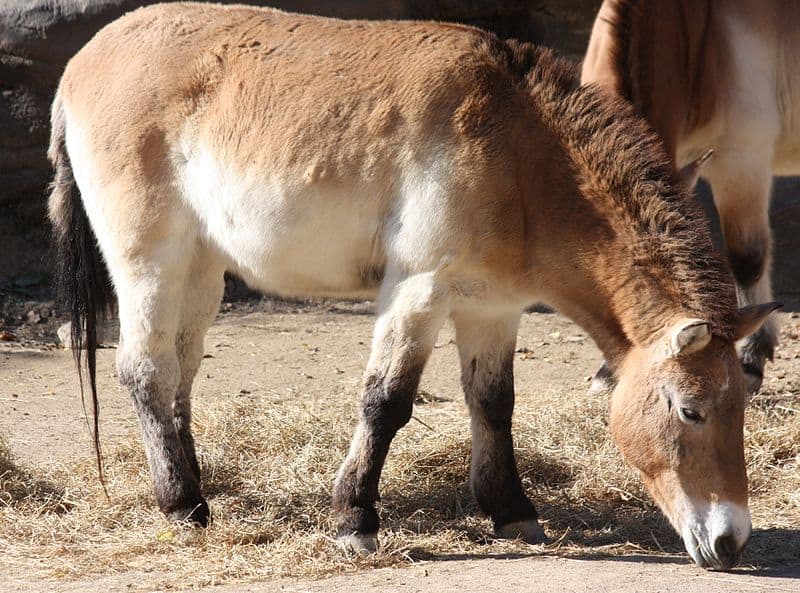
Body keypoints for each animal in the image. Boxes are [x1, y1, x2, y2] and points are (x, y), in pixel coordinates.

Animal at [50, 2, 776, 572]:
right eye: (690, 410)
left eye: (740, 404)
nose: (731, 541)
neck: (518, 152)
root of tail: (83, 63)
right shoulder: (419, 291)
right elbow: (386, 402)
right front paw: (355, 521)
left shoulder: (493, 307)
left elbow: (494, 403)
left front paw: (512, 511)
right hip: (149, 261)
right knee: (145, 371)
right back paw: (183, 508)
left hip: (201, 272)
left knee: (179, 376)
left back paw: (194, 490)